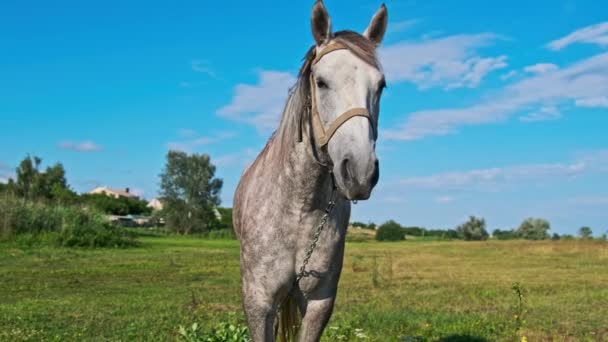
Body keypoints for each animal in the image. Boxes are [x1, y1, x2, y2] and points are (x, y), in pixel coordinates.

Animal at [230, 1, 388, 340]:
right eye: (321, 82)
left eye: (381, 86)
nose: (360, 172)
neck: (298, 207)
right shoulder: (258, 303)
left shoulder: (319, 302)